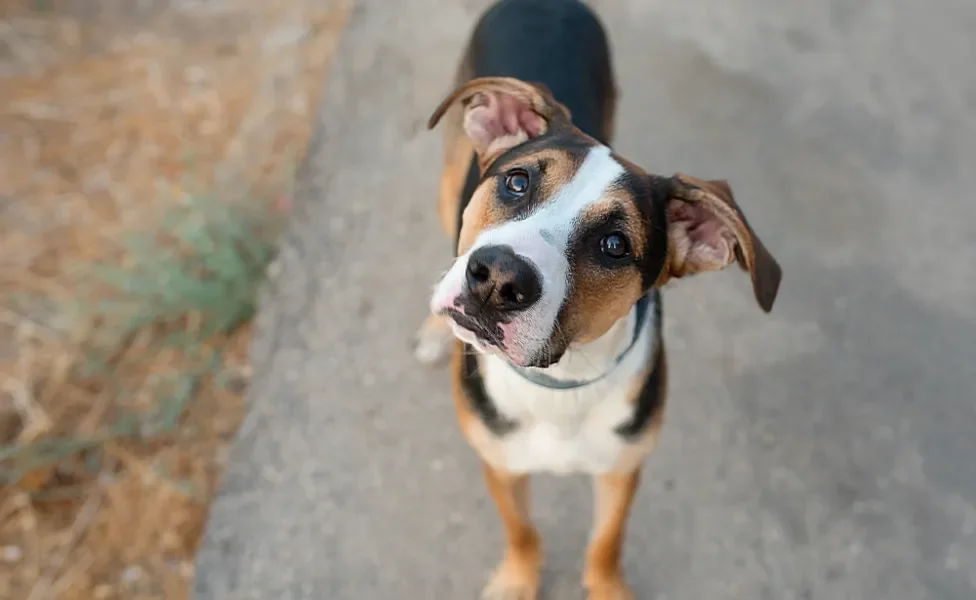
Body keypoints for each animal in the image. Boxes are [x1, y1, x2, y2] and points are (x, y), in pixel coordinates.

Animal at [416, 2, 780, 596]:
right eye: (517, 182)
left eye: (614, 245)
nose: (496, 280)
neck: (560, 384)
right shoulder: (500, 461)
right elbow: (522, 530)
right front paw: (518, 580)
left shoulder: (623, 466)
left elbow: (606, 543)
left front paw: (607, 587)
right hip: (449, 181)